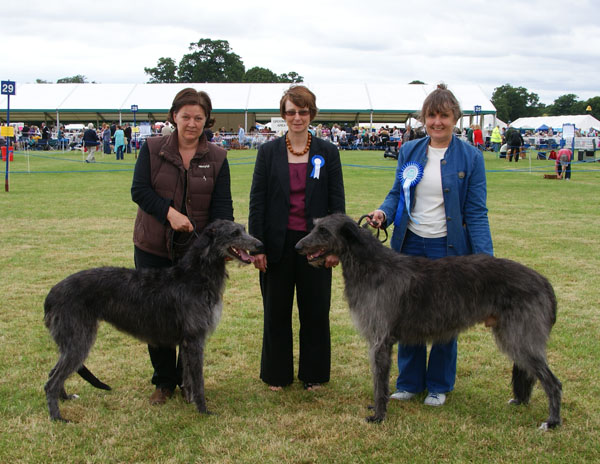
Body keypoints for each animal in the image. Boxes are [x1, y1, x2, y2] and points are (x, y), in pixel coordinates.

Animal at [45, 220, 262, 420]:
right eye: (235, 233)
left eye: (244, 229)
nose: (260, 244)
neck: (196, 275)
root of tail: (51, 296)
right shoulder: (195, 339)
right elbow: (198, 380)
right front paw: (204, 411)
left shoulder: (186, 341)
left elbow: (188, 377)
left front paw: (190, 401)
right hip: (79, 338)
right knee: (51, 382)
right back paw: (58, 417)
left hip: (70, 340)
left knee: (53, 373)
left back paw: (65, 398)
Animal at [296, 213, 564, 428]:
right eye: (315, 226)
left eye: (324, 230)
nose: (298, 246)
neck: (371, 266)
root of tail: (544, 282)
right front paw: (377, 408)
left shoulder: (380, 341)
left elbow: (379, 381)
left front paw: (379, 416)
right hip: (512, 335)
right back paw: (521, 401)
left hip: (520, 336)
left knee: (553, 383)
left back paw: (552, 422)